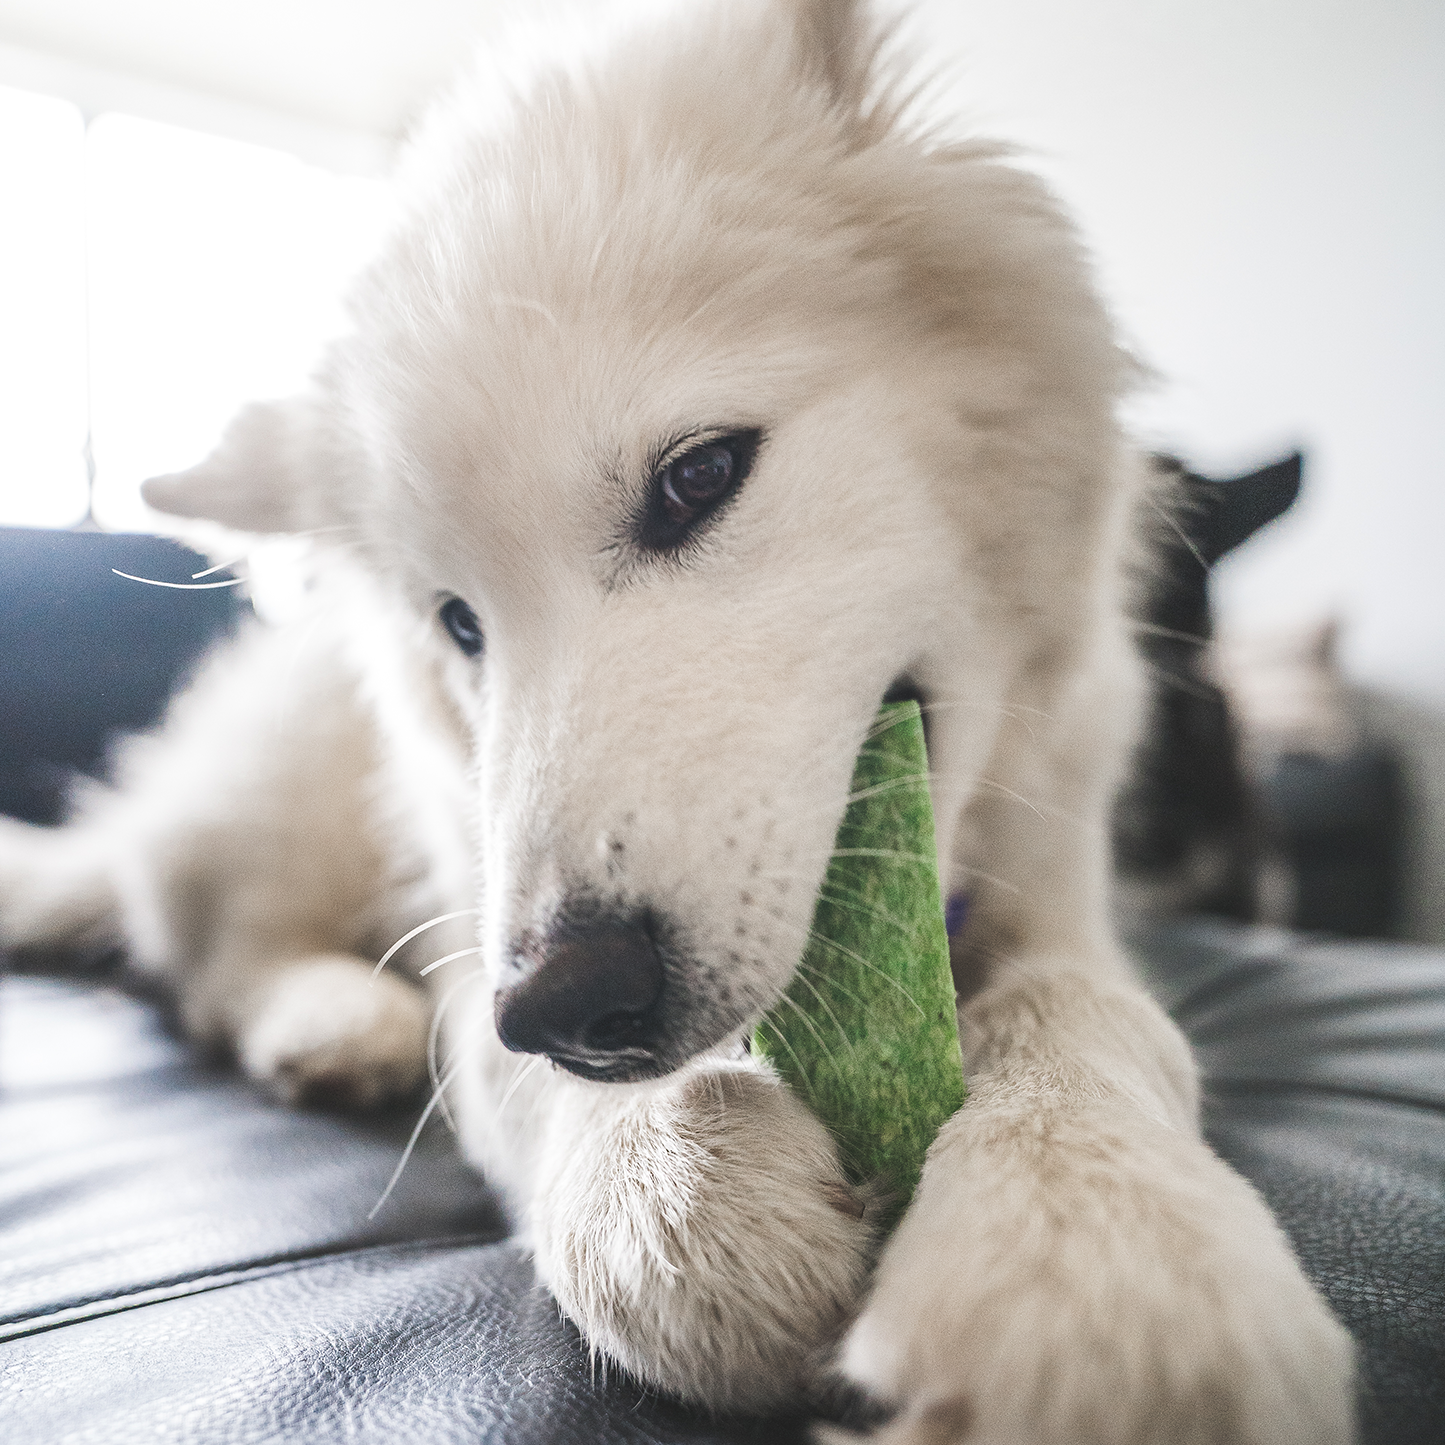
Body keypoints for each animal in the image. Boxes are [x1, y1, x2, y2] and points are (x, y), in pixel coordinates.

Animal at [0, 2, 1352, 1445]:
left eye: (698, 476)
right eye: (459, 623)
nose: (569, 1004)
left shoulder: (1061, 886)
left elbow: (1083, 1012)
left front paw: (1100, 1250)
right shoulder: (481, 932)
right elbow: (507, 1075)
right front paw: (665, 1181)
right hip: (299, 783)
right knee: (202, 946)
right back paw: (333, 1019)